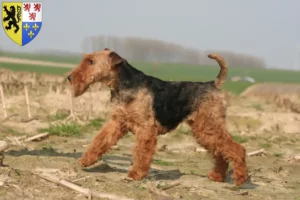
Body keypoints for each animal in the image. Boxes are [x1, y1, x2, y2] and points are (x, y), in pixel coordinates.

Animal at [67, 48, 248, 186]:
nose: (69, 77)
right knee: (221, 152)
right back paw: (217, 176)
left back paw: (240, 179)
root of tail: (213, 84)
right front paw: (85, 160)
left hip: (208, 126)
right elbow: (100, 141)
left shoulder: (146, 128)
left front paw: (135, 174)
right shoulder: (117, 122)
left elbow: (141, 153)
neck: (123, 85)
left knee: (236, 148)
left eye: (91, 62)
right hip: (204, 130)